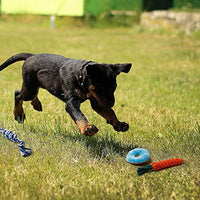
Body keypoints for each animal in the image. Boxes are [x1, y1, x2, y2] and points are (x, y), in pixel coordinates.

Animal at [0, 53, 132, 136]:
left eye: (114, 87)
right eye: (101, 88)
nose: (111, 103)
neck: (80, 77)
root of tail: (31, 56)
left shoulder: (97, 101)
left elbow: (110, 113)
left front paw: (119, 124)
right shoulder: (72, 102)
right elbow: (79, 115)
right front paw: (87, 129)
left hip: (36, 84)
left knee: (32, 94)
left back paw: (36, 104)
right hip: (29, 88)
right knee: (18, 94)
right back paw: (19, 114)